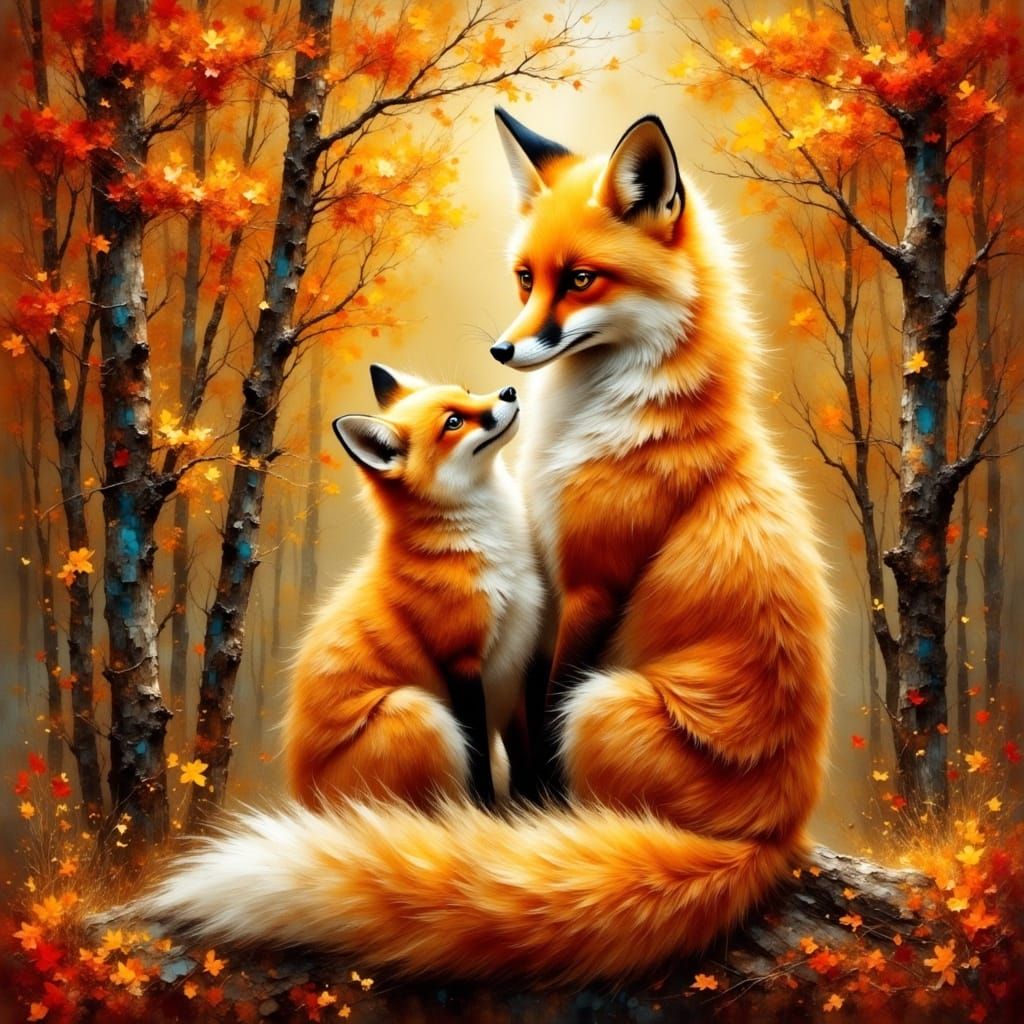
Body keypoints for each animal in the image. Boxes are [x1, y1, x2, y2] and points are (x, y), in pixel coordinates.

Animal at [284, 364, 543, 810]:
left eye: (468, 392)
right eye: (453, 423)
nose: (509, 390)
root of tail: (303, 801)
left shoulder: (516, 663)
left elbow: (524, 760)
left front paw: (532, 811)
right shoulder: (460, 659)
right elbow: (480, 763)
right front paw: (489, 815)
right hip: (417, 712)